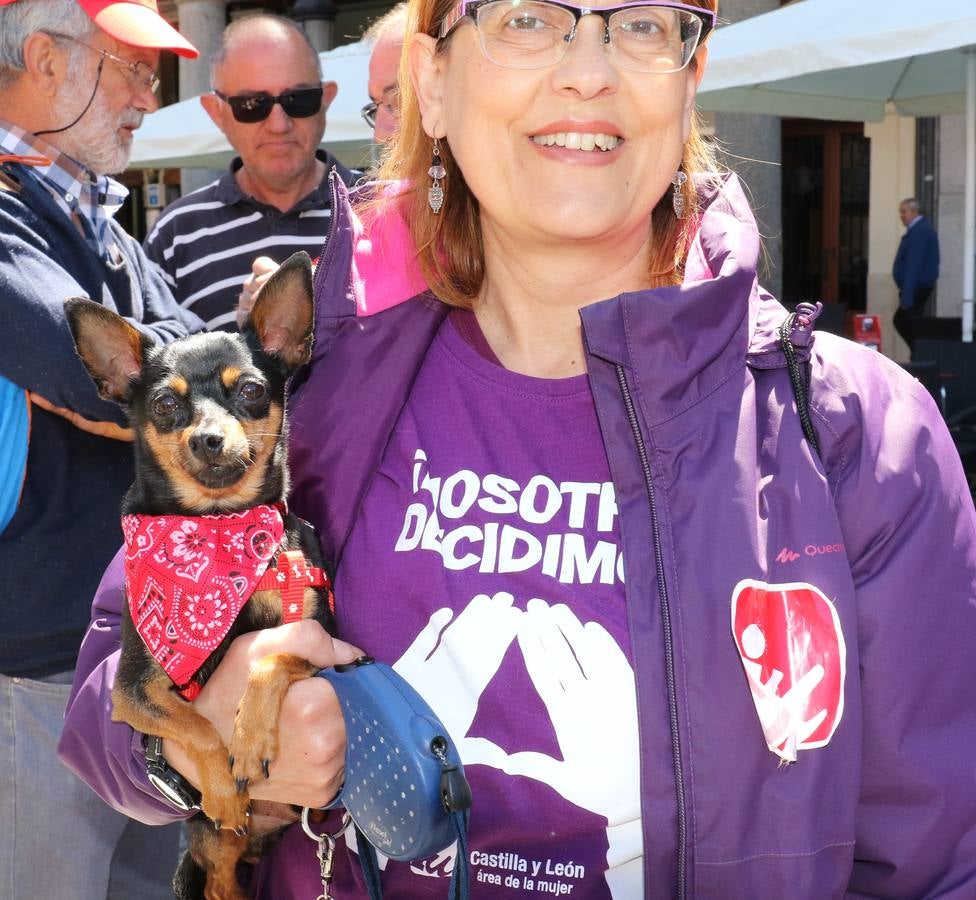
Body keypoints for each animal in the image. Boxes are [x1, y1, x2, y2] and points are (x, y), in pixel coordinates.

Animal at [65, 253, 334, 900]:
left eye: (254, 392)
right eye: (166, 404)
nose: (209, 438)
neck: (217, 531)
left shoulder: (328, 644)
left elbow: (272, 656)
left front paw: (252, 738)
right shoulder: (133, 691)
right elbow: (197, 723)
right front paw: (222, 777)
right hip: (212, 843)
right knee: (218, 880)